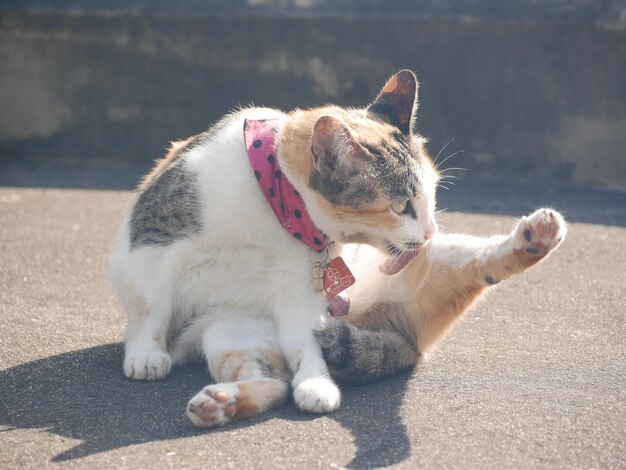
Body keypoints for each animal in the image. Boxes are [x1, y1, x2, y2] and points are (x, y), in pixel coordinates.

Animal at [107, 70, 436, 422]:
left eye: (431, 197)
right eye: (400, 206)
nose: (431, 233)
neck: (279, 208)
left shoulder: (302, 289)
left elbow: (306, 340)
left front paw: (316, 382)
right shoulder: (153, 237)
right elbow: (148, 305)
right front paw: (145, 354)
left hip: (236, 328)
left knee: (277, 382)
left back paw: (223, 403)